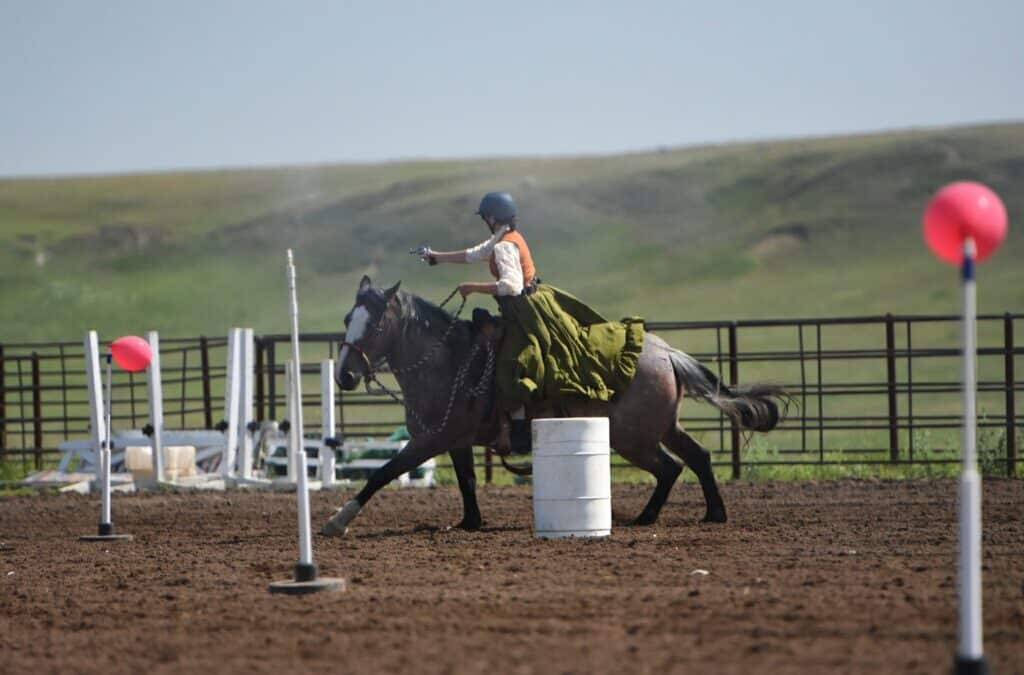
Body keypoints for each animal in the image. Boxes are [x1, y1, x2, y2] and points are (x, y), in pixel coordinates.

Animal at [317, 276, 782, 536]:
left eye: (376, 323)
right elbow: (468, 481)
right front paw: (470, 523)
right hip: (662, 427)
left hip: (633, 438)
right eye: (346, 320)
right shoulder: (456, 440)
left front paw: (338, 521)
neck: (446, 361)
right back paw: (712, 513)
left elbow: (382, 473)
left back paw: (648, 518)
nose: (345, 375)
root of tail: (666, 352)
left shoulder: (431, 440)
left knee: (670, 467)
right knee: (697, 457)